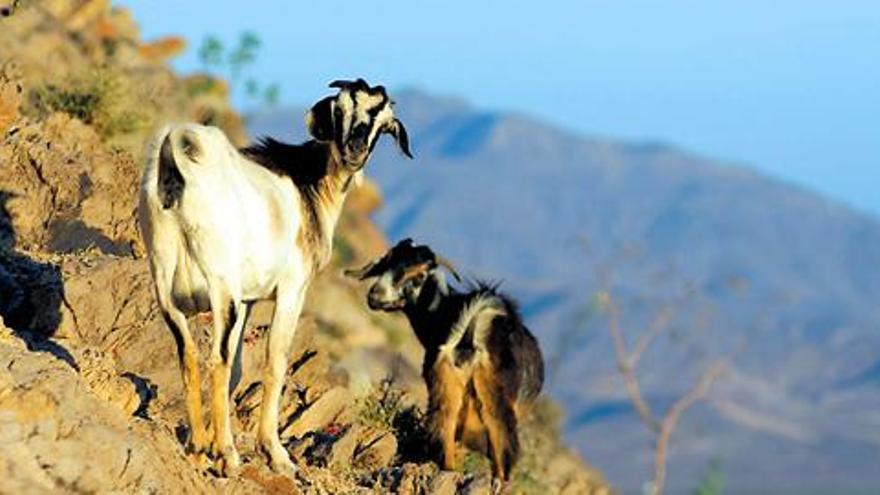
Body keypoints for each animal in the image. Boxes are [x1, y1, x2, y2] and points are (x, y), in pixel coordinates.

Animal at [138, 80, 412, 476]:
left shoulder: (248, 300)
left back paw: (197, 447)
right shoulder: (291, 290)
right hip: (220, 286)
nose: (355, 150)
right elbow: (275, 360)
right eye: (340, 109)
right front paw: (275, 453)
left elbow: (239, 367)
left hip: (166, 284)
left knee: (189, 355)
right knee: (216, 360)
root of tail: (176, 148)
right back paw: (228, 456)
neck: (307, 185)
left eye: (383, 122)